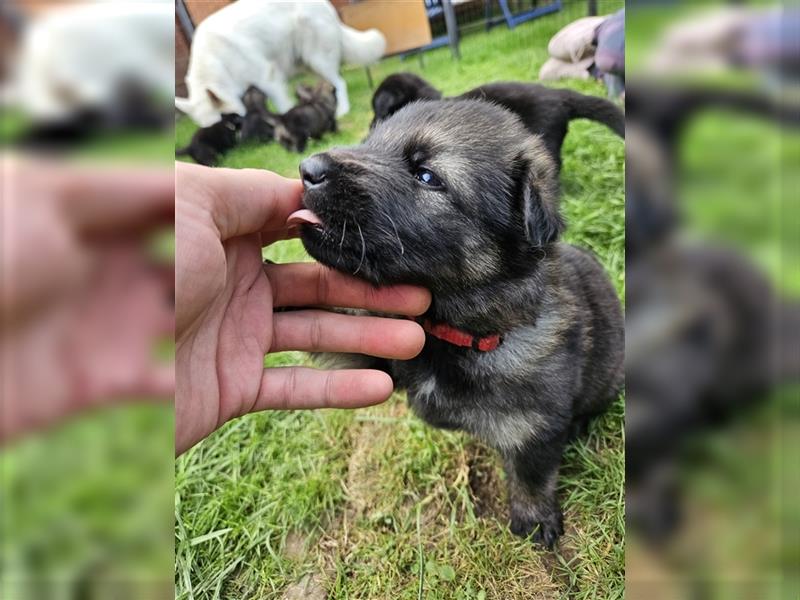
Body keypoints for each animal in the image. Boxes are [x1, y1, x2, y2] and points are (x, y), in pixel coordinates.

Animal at [176, 0, 388, 126]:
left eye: (226, 123)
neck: (215, 62)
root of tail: (326, 6)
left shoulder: (266, 76)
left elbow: (282, 104)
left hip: (317, 58)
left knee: (340, 82)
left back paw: (342, 110)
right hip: (307, 63)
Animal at [288, 99, 624, 548]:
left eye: (427, 176)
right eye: (372, 141)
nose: (308, 168)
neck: (448, 330)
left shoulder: (533, 427)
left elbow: (531, 475)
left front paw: (534, 518)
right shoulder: (376, 353)